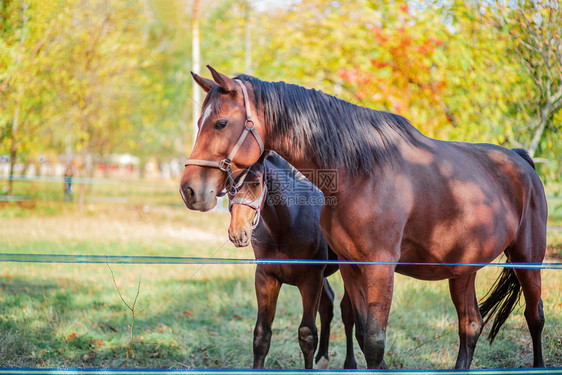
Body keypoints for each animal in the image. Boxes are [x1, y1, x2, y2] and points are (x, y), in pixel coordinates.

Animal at [224, 152, 352, 370]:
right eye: (228, 187)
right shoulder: (266, 278)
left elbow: (307, 335)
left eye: (256, 183)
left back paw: (350, 363)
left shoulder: (311, 280)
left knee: (348, 312)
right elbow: (262, 334)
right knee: (328, 305)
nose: (238, 234)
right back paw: (322, 360)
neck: (285, 225)